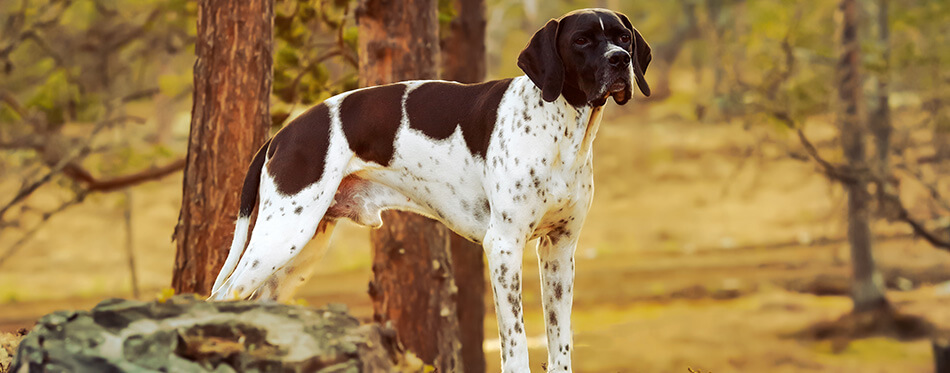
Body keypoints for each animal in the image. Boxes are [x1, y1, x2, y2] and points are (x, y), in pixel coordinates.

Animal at [209, 8, 652, 372]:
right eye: (581, 40)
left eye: (623, 37)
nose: (620, 60)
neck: (560, 129)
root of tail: (281, 134)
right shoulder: (504, 246)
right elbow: (515, 343)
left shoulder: (559, 250)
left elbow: (560, 343)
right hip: (281, 236)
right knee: (223, 297)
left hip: (298, 253)